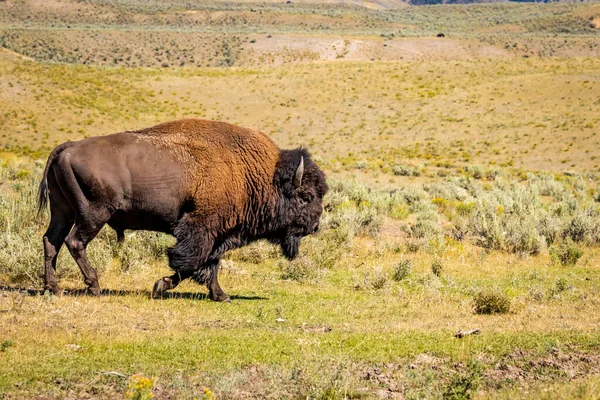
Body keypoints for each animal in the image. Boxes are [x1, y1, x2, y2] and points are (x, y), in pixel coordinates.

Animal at [38, 119, 328, 300]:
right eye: (305, 196)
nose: (315, 226)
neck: (255, 172)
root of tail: (67, 147)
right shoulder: (201, 228)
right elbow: (190, 262)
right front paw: (160, 286)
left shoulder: (218, 234)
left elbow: (210, 263)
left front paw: (220, 295)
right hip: (93, 214)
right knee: (74, 242)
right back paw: (94, 286)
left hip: (63, 212)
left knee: (51, 241)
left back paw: (54, 288)